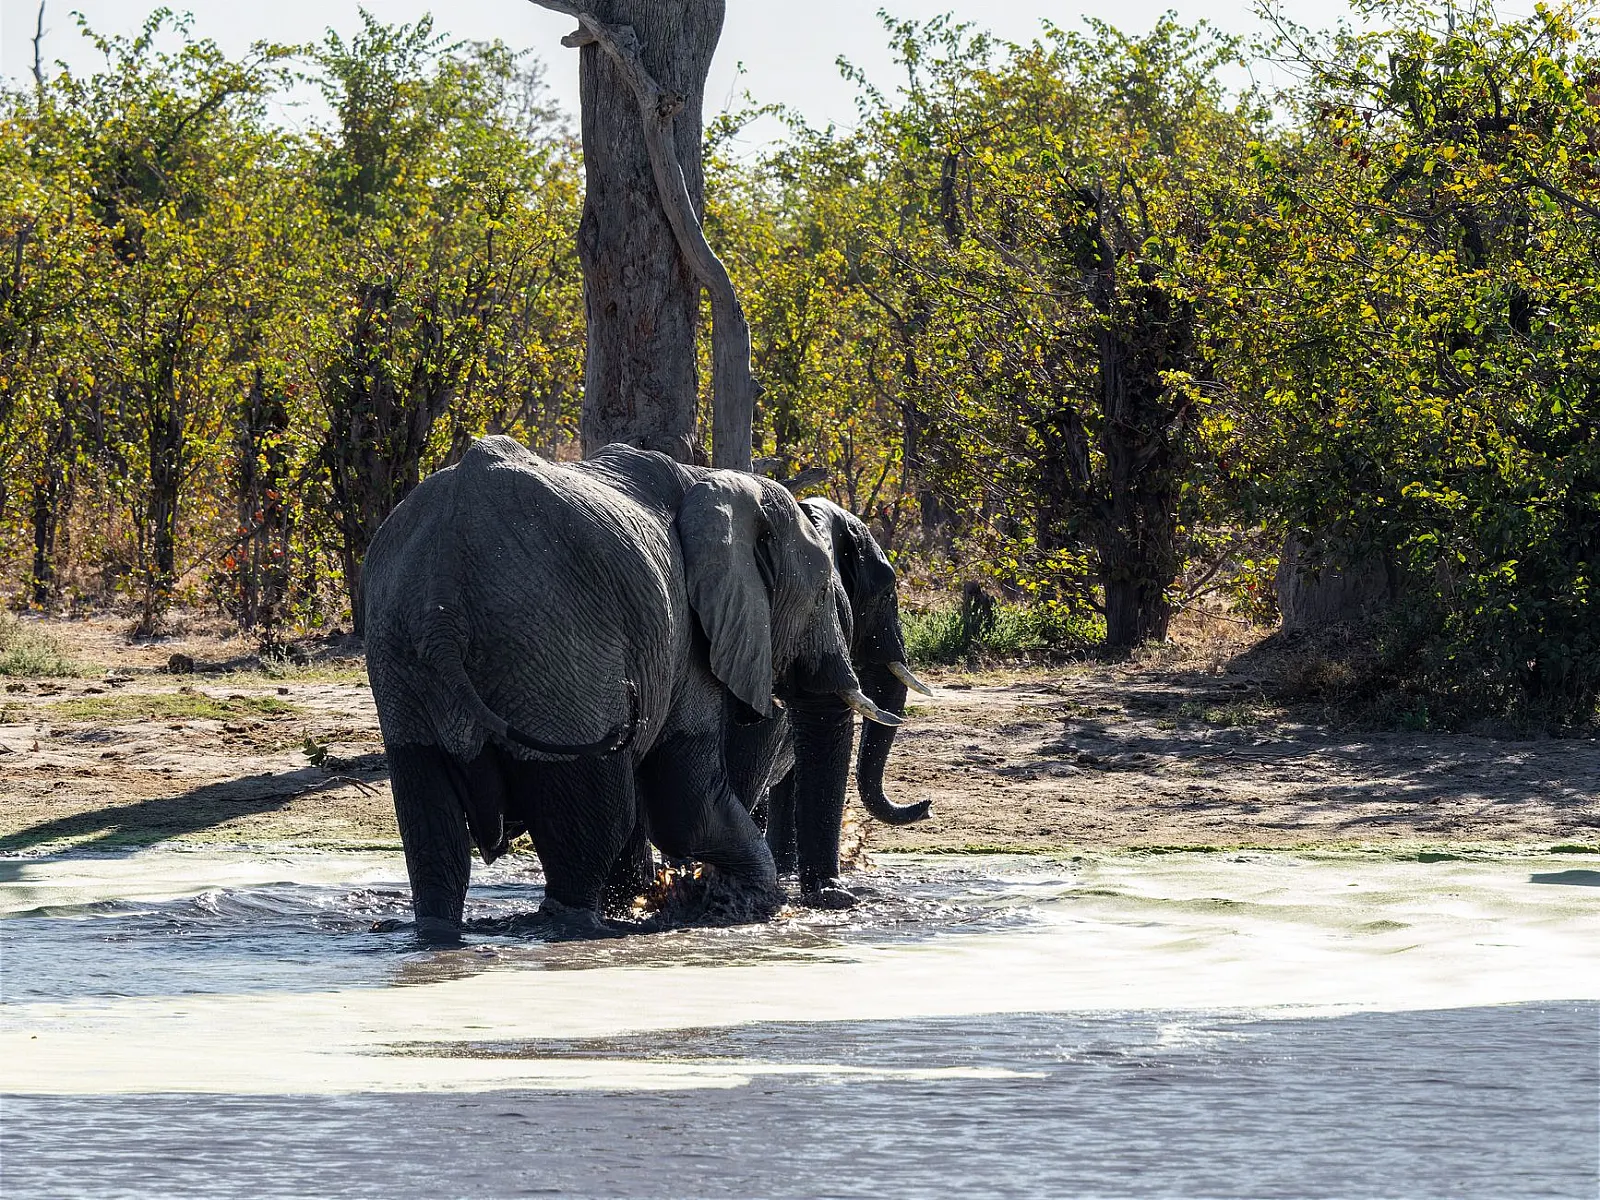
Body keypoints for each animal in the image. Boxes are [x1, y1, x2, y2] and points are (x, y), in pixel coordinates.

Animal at [362, 436, 899, 937]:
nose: (835, 898)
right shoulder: (686, 638)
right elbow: (683, 801)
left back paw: (439, 936)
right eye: (825, 595)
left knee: (430, 816)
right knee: (594, 814)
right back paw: (579, 928)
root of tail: (441, 607)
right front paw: (740, 902)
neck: (721, 484)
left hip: (400, 653)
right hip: (556, 647)